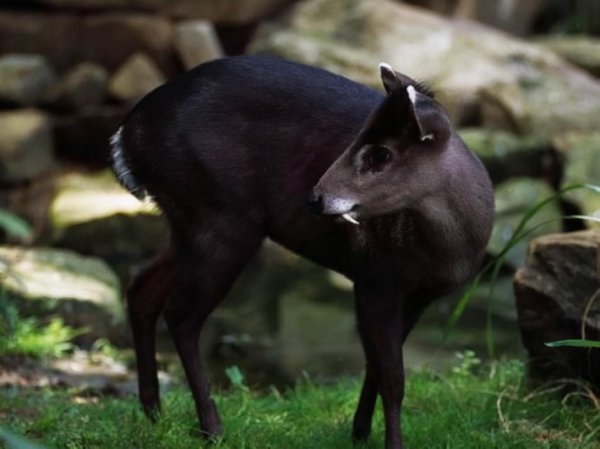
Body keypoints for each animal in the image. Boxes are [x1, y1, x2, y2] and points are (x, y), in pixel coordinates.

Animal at [110, 54, 494, 446]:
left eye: (382, 154)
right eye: (358, 138)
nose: (314, 198)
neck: (447, 251)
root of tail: (128, 135)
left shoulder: (417, 294)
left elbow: (377, 365)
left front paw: (359, 432)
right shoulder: (374, 276)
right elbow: (392, 377)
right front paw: (385, 442)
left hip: (188, 223)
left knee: (142, 289)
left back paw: (153, 411)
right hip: (220, 219)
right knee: (182, 315)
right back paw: (212, 428)